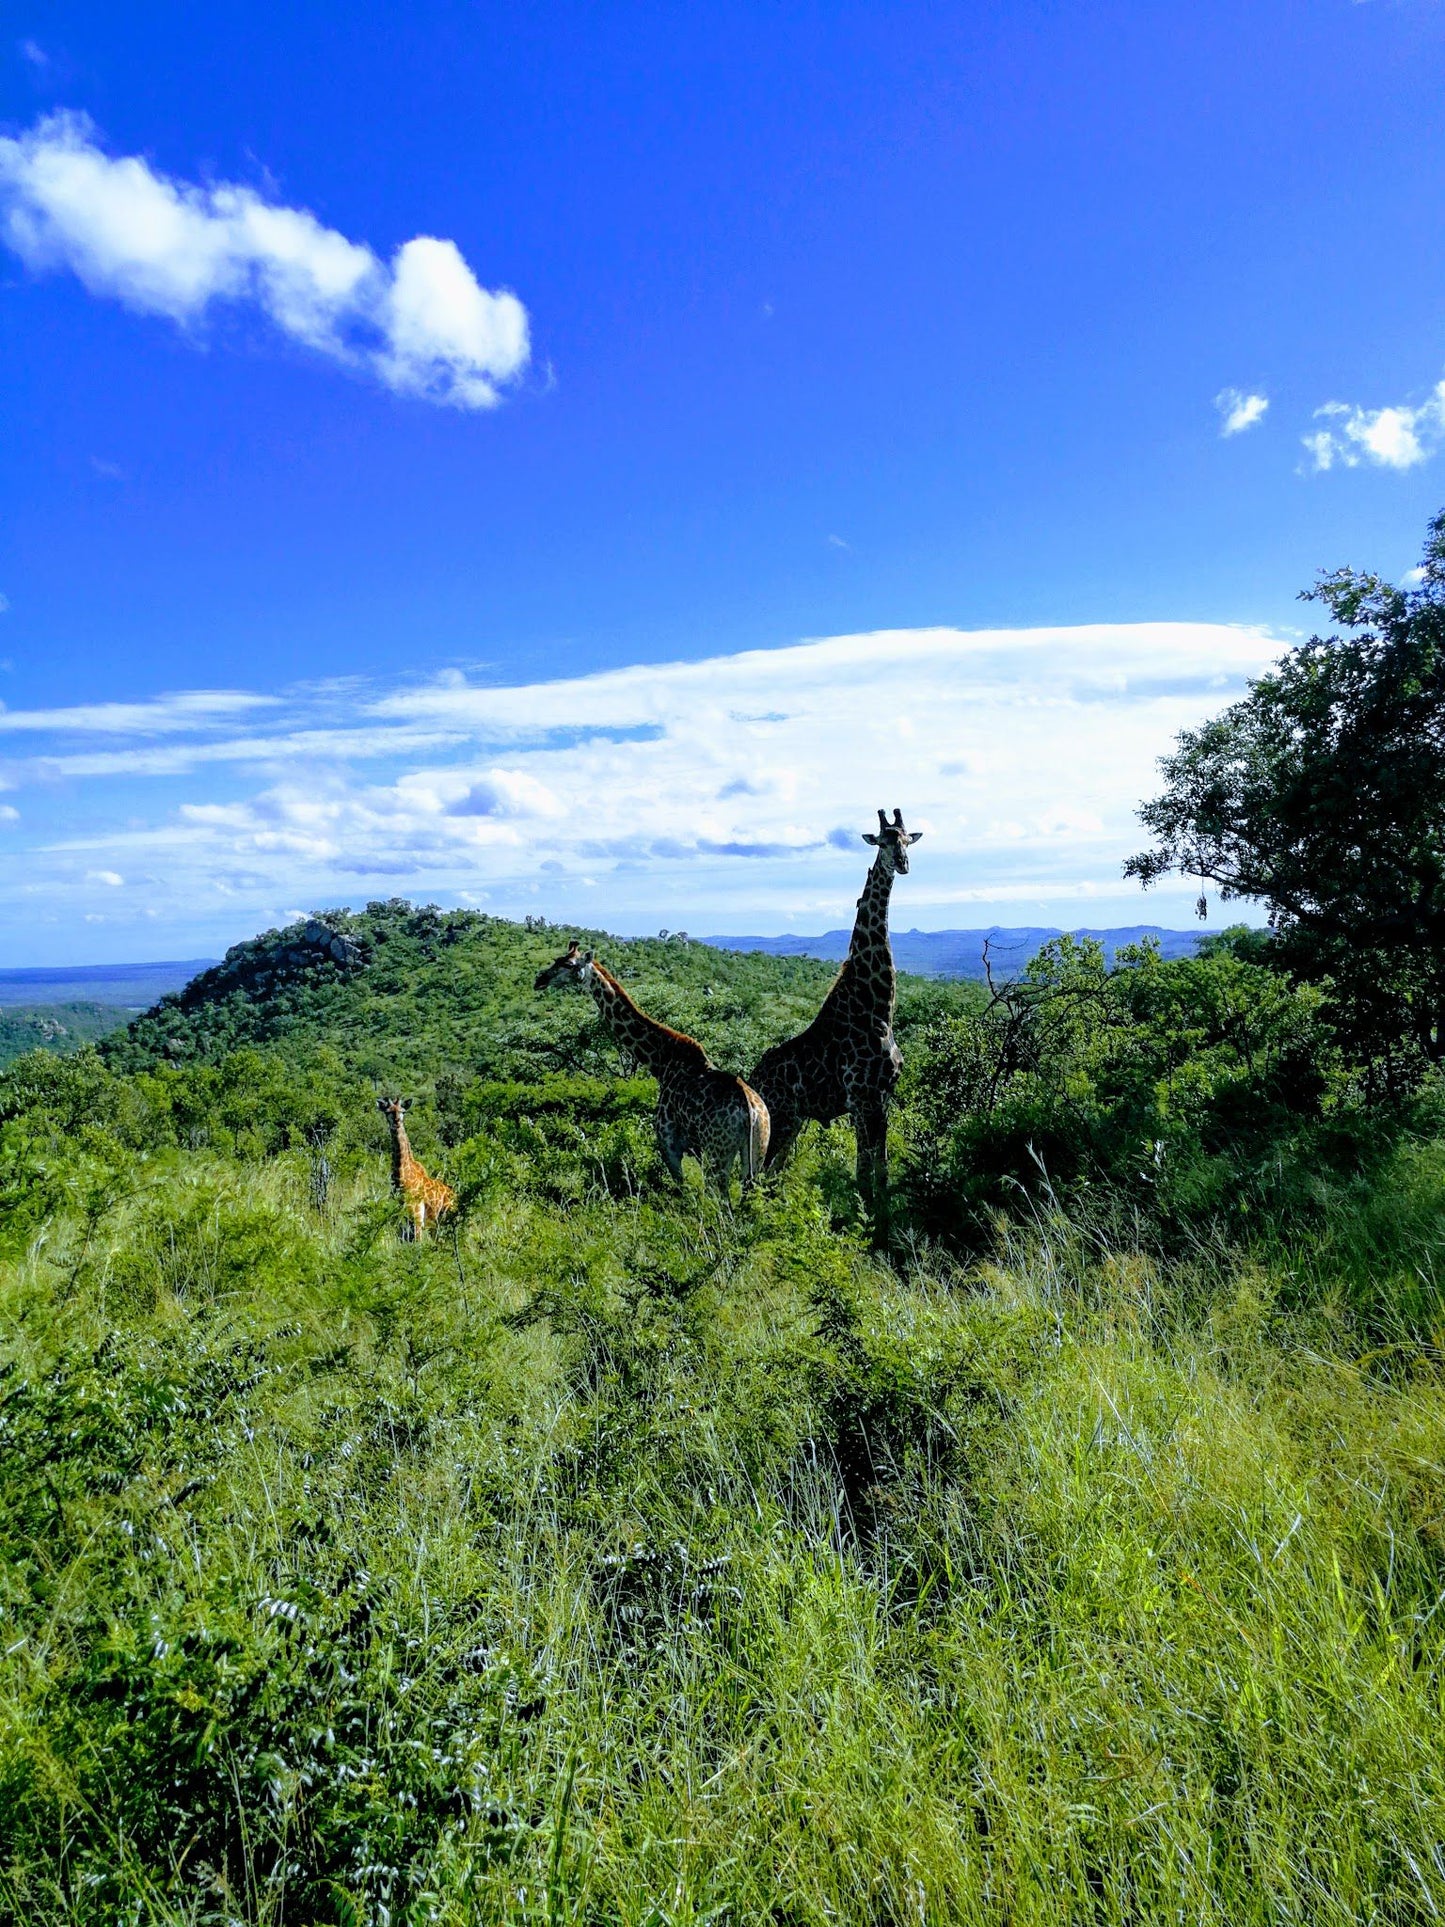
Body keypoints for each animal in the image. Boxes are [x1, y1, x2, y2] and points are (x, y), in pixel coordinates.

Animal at [379, 1102, 458, 1233]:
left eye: (403, 1111)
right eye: (388, 1112)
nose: (396, 1122)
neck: (402, 1178)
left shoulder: (416, 1215)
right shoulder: (397, 1217)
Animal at [539, 936, 774, 1187]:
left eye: (569, 965)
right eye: (557, 959)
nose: (540, 980)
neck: (662, 1063)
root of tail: (752, 1113)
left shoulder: (669, 1143)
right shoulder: (695, 1149)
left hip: (717, 1154)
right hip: (756, 1155)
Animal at [751, 813, 920, 1217]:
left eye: (908, 839)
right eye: (884, 841)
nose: (903, 864)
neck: (877, 1007)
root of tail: (753, 1079)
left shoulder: (883, 1097)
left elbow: (882, 1169)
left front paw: (881, 1216)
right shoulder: (861, 1099)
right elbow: (863, 1172)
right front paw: (867, 1220)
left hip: (794, 1121)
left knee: (771, 1175)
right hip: (781, 1118)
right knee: (755, 1176)